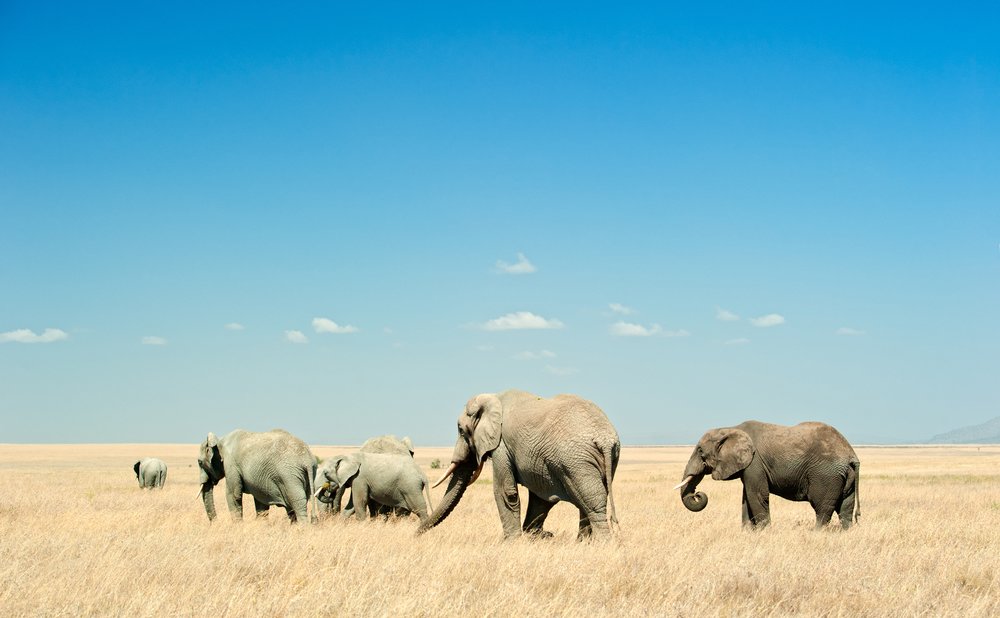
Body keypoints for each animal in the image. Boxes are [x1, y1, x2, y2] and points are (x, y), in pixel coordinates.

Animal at [420, 389, 620, 541]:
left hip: (575, 460)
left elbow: (505, 490)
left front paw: (511, 541)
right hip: (598, 459)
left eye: (461, 430)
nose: (416, 534)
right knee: (587, 499)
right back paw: (582, 543)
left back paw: (600, 544)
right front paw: (534, 537)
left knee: (592, 501)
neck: (493, 398)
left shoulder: (501, 444)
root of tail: (605, 438)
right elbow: (541, 497)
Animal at [675, 420, 861, 529]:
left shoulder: (755, 463)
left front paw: (764, 531)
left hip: (826, 475)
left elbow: (757, 495)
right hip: (844, 477)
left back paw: (816, 533)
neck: (730, 428)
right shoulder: (749, 467)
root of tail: (851, 455)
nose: (698, 494)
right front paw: (748, 532)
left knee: (822, 508)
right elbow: (746, 498)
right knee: (845, 508)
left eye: (700, 451)